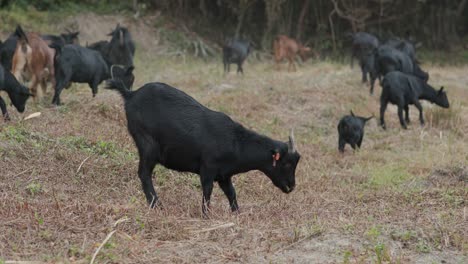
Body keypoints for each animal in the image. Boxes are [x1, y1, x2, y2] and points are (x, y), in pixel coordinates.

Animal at [106, 80, 302, 214]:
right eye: (286, 163)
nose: (291, 186)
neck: (236, 143)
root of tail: (130, 94)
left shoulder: (224, 175)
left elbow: (232, 193)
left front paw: (237, 213)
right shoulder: (208, 168)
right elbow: (207, 191)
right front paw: (206, 215)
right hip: (147, 145)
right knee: (144, 173)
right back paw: (156, 205)